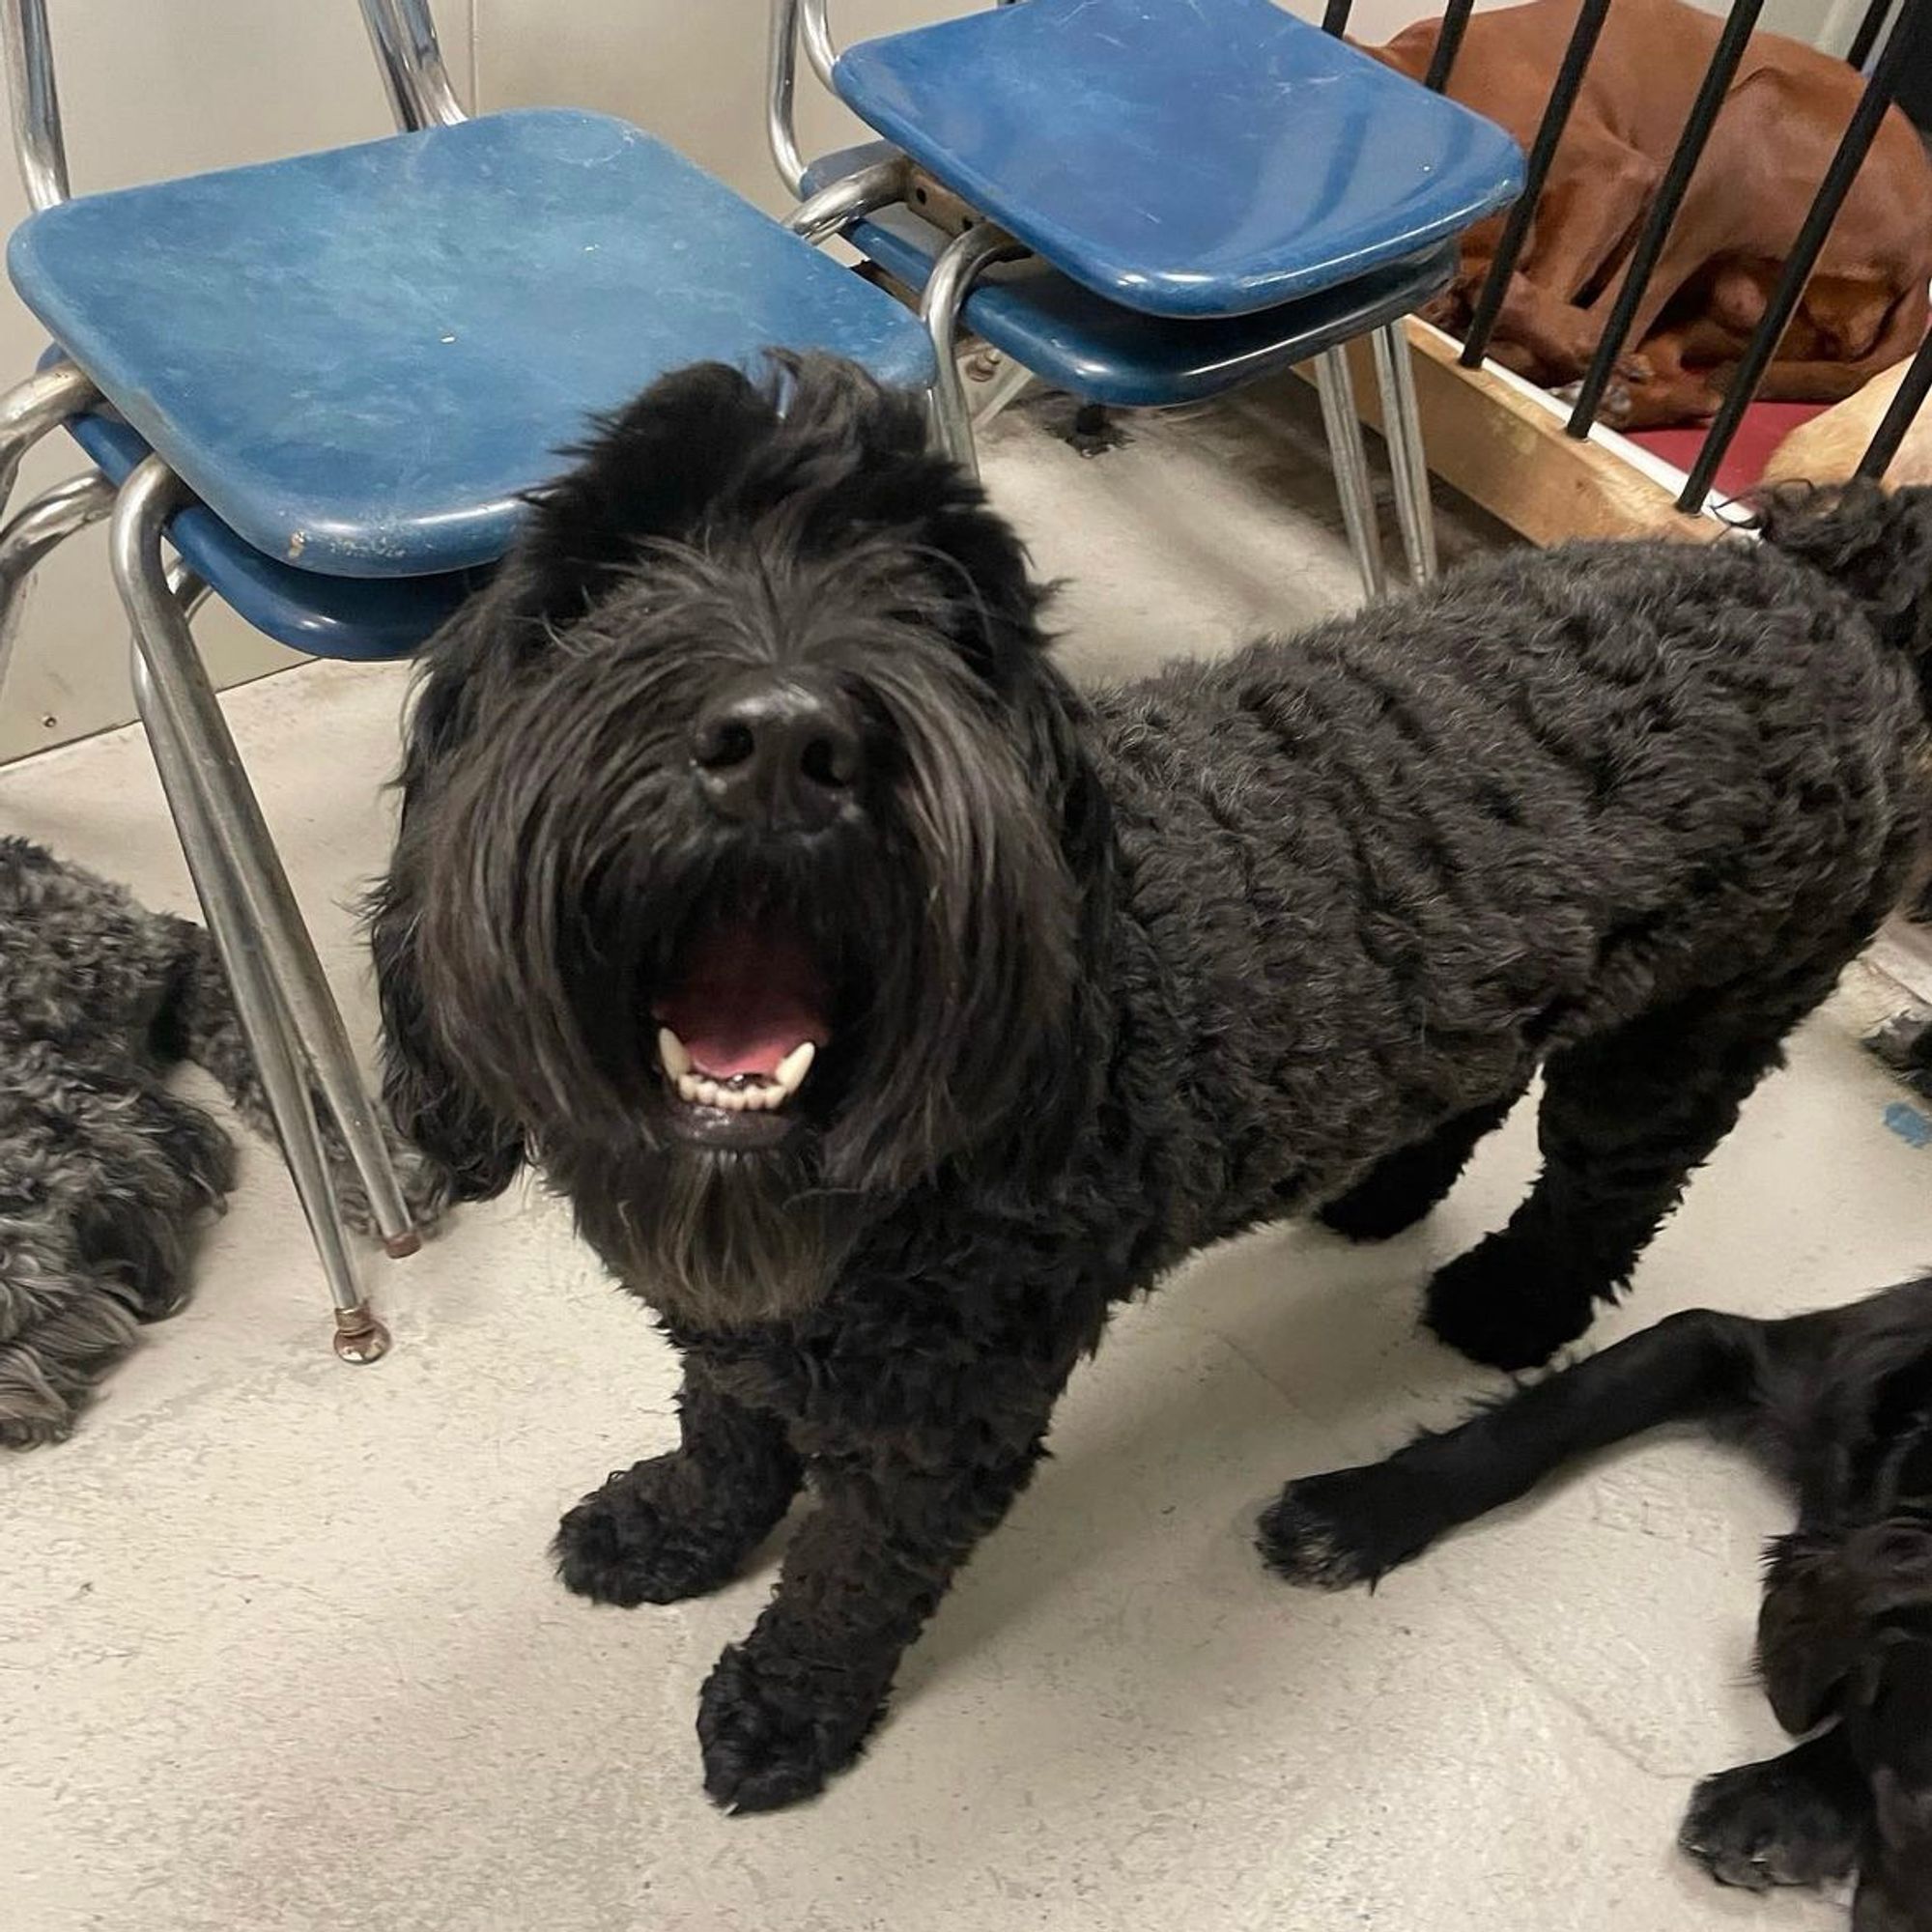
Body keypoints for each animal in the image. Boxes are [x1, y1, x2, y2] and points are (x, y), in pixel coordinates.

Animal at [369, 352, 1932, 1808]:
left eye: (936, 603)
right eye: (607, 578)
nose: (780, 738)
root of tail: (1822, 590)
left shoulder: (944, 1420)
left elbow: (850, 1573)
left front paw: (786, 1703)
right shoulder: (745, 1333)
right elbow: (725, 1424)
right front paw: (676, 1524)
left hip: (1693, 1032)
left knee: (1603, 1195)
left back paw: (1502, 1307)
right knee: (1483, 1085)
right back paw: (1384, 1190)